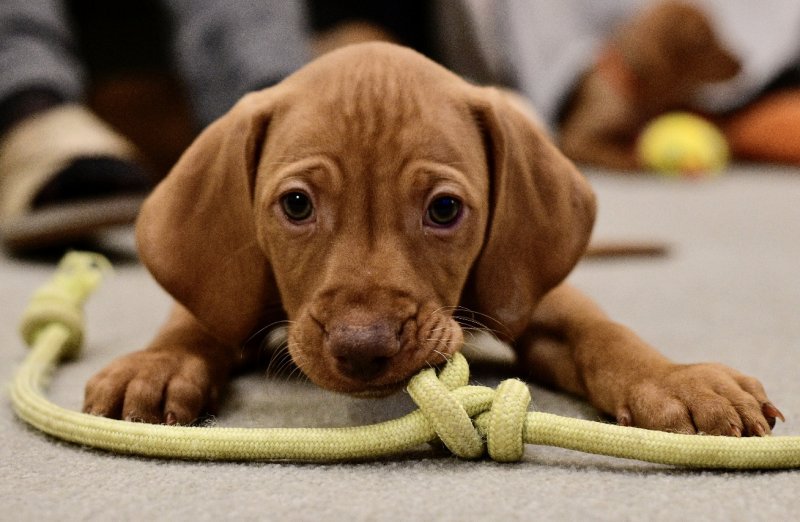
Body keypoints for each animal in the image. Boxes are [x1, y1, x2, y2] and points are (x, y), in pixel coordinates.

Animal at [83, 42, 780, 434]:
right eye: (297, 205)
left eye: (444, 209)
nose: (363, 349)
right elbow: (196, 318)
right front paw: (159, 363)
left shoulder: (532, 299)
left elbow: (603, 332)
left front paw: (674, 379)